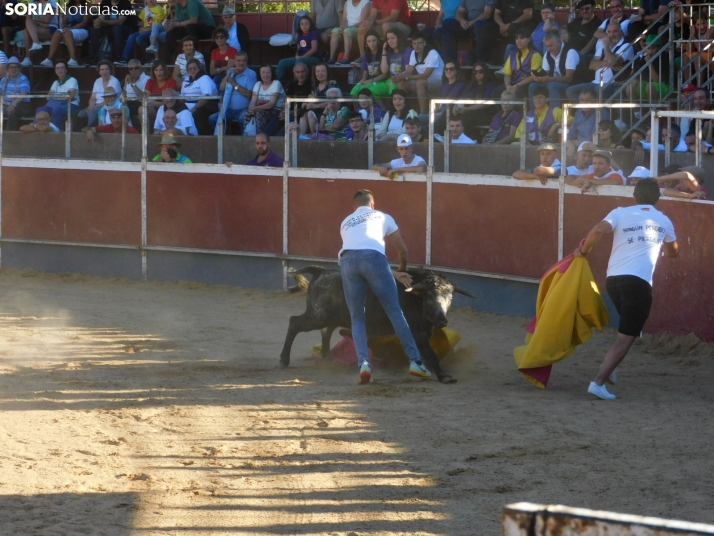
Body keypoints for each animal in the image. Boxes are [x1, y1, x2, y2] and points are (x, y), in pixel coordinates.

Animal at [278, 266, 472, 384]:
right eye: (430, 296)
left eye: (451, 297)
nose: (442, 320)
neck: (416, 299)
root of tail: (322, 271)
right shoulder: (417, 333)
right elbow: (431, 355)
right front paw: (444, 376)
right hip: (318, 316)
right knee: (294, 323)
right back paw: (284, 360)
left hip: (332, 317)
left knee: (325, 332)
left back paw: (326, 357)